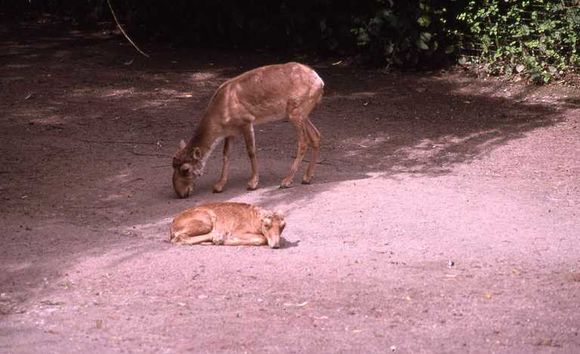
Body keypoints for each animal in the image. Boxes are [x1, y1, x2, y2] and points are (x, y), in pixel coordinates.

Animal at [172, 62, 326, 198]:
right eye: (172, 165)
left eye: (185, 169)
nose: (180, 194)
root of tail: (320, 81)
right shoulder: (231, 132)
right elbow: (226, 154)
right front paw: (218, 186)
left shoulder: (246, 121)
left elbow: (251, 151)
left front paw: (252, 183)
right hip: (302, 112)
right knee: (316, 135)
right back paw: (307, 177)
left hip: (295, 112)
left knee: (304, 141)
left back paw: (286, 181)